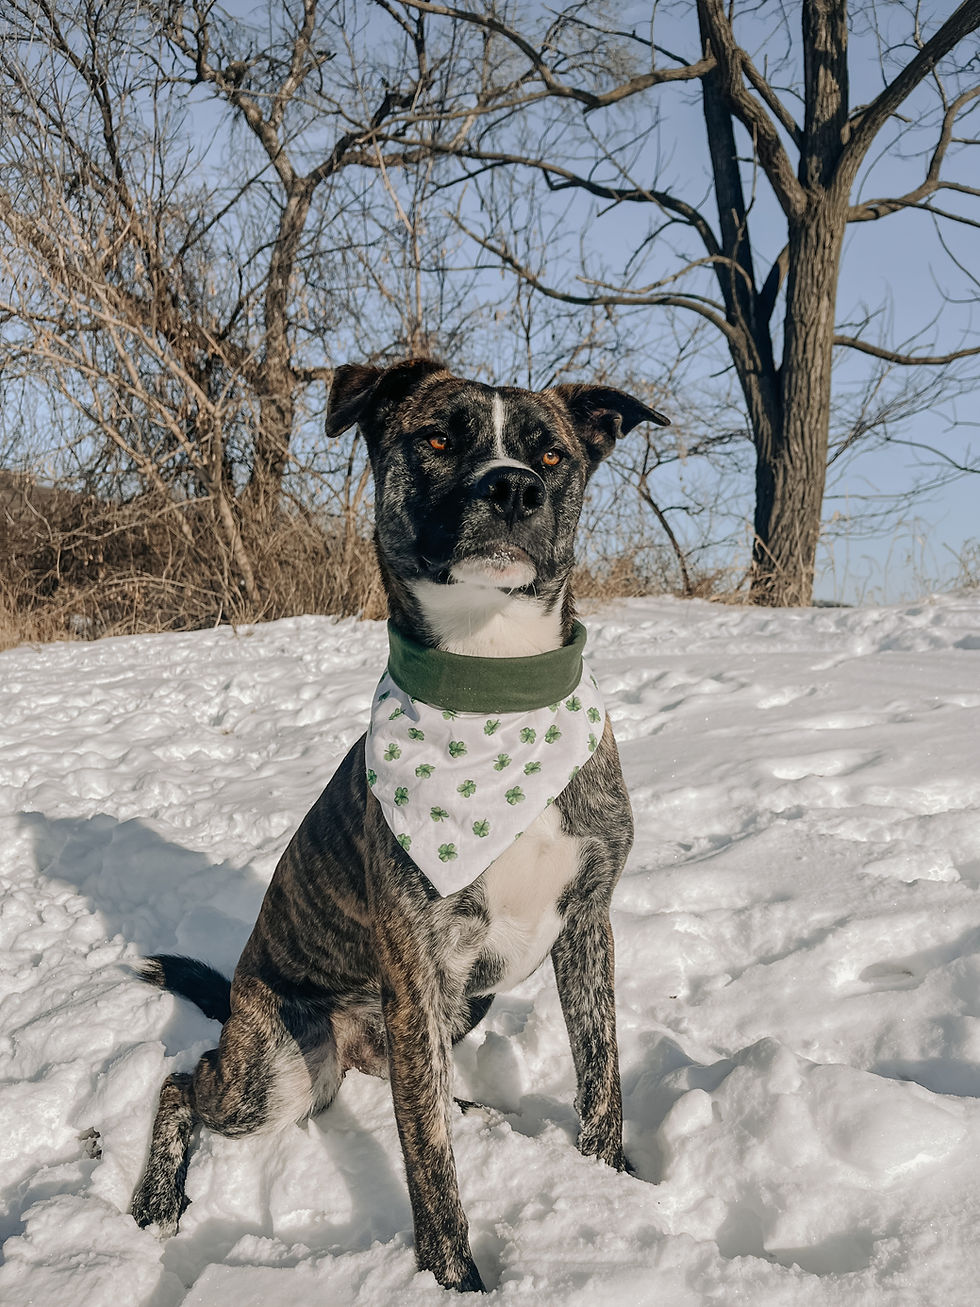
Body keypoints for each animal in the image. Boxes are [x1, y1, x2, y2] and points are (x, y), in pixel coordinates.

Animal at [131, 358, 669, 1292]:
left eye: (552, 454)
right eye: (441, 438)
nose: (514, 488)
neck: (492, 680)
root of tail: (240, 1001)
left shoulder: (587, 922)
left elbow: (600, 1074)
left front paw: (613, 1181)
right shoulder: (416, 962)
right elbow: (427, 1160)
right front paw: (454, 1280)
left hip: (465, 1004)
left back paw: (474, 1110)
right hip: (275, 1072)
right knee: (184, 1082)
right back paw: (157, 1199)